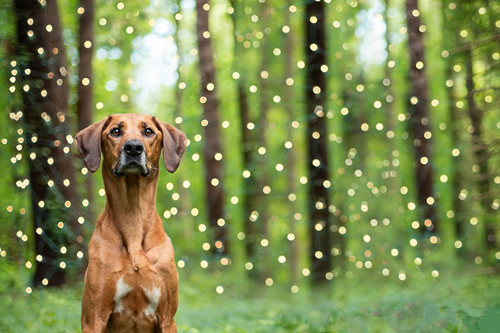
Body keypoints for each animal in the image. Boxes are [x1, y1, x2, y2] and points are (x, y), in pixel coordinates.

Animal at [73, 113, 185, 330]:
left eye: (148, 131)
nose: (133, 147)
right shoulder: (93, 318)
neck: (133, 215)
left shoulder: (168, 319)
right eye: (115, 131)